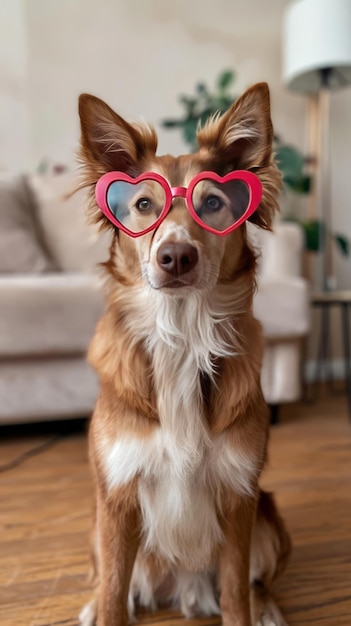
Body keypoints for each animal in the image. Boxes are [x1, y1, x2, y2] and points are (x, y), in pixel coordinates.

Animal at [78, 83, 292, 624]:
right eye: (143, 204)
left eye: (212, 202)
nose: (175, 257)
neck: (180, 335)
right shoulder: (116, 497)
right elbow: (114, 592)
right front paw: (104, 607)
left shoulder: (239, 495)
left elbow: (236, 590)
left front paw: (248, 611)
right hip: (97, 527)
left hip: (269, 520)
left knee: (258, 580)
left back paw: (267, 607)